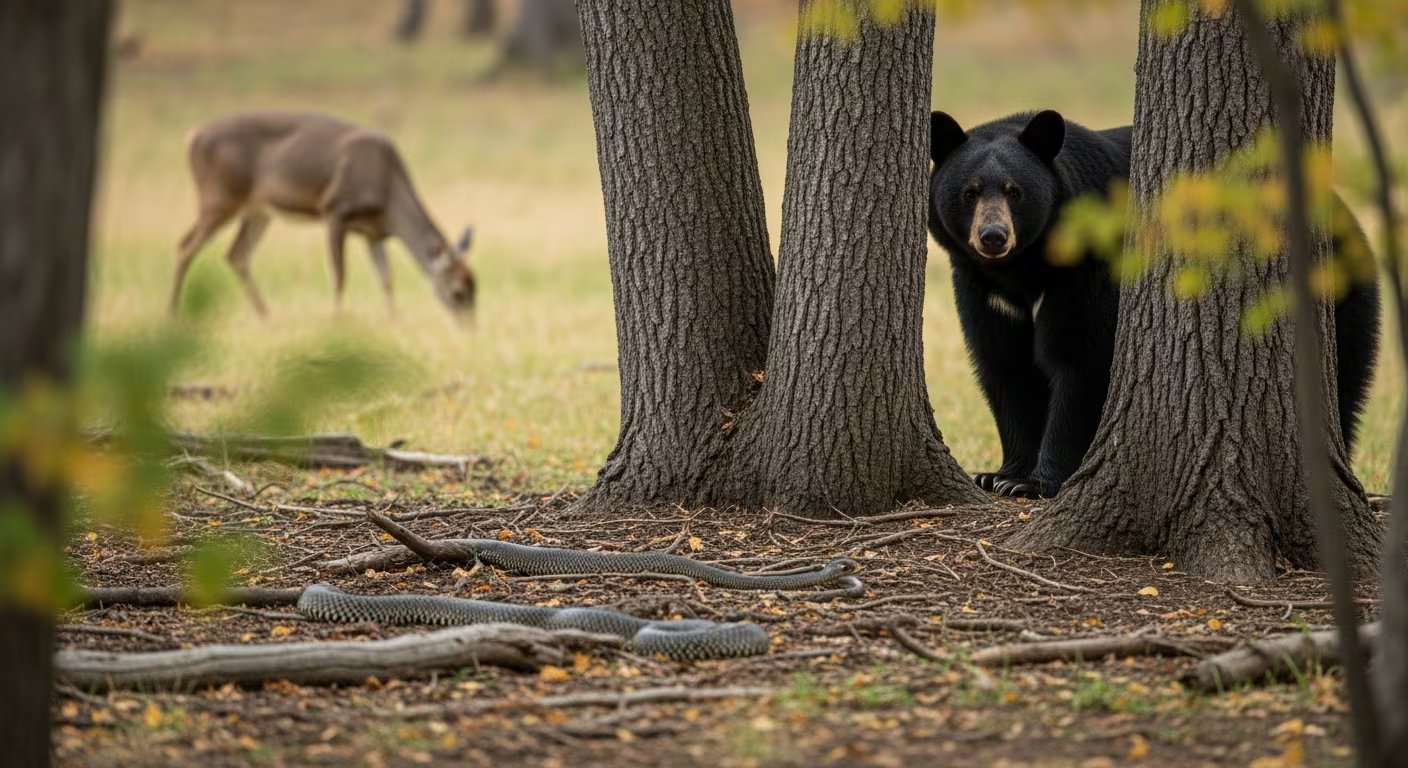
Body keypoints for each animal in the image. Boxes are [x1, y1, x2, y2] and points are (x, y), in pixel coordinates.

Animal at [927, 110, 1380, 499]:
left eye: (1014, 192)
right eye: (969, 192)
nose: (993, 236)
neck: (1026, 268)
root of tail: (1345, 215)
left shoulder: (1090, 267)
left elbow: (1080, 357)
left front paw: (1036, 482)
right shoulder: (984, 289)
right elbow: (1006, 365)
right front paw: (1000, 475)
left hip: (1334, 293)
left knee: (1339, 381)